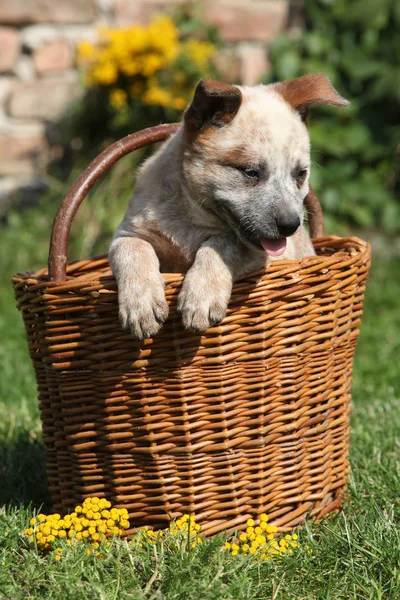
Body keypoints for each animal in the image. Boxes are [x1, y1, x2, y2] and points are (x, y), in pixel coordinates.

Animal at [108, 71, 346, 338]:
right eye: (251, 172)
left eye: (301, 174)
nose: (291, 226)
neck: (191, 219)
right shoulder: (127, 233)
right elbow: (132, 249)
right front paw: (142, 303)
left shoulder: (263, 255)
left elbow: (223, 243)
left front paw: (201, 295)